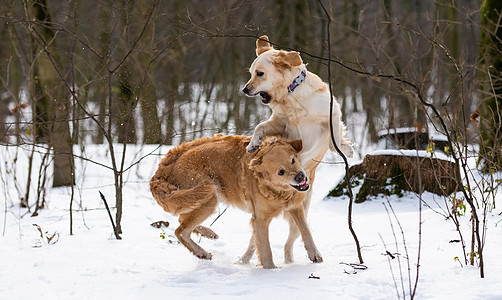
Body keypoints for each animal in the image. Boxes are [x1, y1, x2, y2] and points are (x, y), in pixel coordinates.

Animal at [149, 135, 322, 268]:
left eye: (292, 160)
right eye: (281, 172)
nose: (300, 176)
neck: (277, 190)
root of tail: (164, 167)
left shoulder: (296, 207)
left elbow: (305, 231)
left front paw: (315, 254)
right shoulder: (260, 219)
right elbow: (265, 249)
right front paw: (270, 271)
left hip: (199, 200)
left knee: (182, 221)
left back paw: (208, 233)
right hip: (208, 196)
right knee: (180, 231)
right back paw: (201, 253)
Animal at [242, 36, 352, 264]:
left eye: (260, 73)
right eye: (251, 73)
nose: (245, 90)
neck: (290, 96)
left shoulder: (331, 112)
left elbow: (335, 134)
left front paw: (346, 149)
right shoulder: (280, 123)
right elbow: (261, 126)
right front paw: (253, 144)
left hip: (301, 210)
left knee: (291, 240)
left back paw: (293, 260)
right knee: (256, 240)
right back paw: (244, 260)